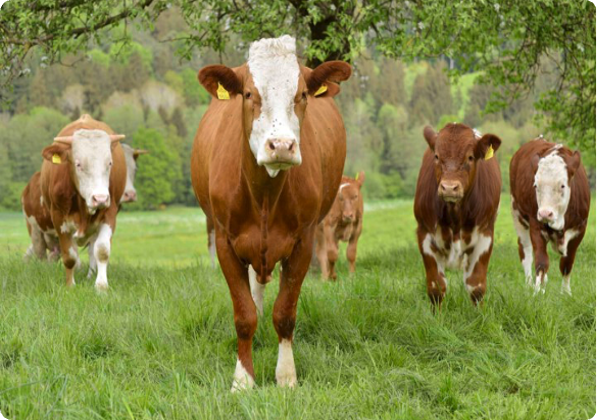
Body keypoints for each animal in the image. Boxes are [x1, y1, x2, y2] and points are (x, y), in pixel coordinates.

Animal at [37, 115, 126, 292]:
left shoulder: (110, 213)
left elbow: (102, 250)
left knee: (92, 249)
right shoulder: (58, 218)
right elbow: (69, 256)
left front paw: (101, 286)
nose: (100, 198)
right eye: (78, 164)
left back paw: (91, 275)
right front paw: (70, 285)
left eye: (110, 163)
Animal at [190, 35, 350, 390]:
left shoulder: (303, 242)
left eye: (301, 94)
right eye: (250, 93)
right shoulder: (225, 242)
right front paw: (243, 379)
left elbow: (285, 313)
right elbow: (244, 314)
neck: (264, 195)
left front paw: (286, 376)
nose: (281, 146)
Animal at [414, 123, 502, 306]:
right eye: (437, 156)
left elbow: (476, 286)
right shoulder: (424, 232)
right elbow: (436, 287)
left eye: (470, 157)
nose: (449, 187)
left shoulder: (485, 234)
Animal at [508, 139, 592, 294]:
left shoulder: (580, 230)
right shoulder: (536, 226)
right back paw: (529, 283)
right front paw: (537, 292)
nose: (545, 213)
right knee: (526, 251)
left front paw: (566, 292)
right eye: (536, 185)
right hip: (517, 215)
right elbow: (541, 262)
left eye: (562, 185)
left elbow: (566, 263)